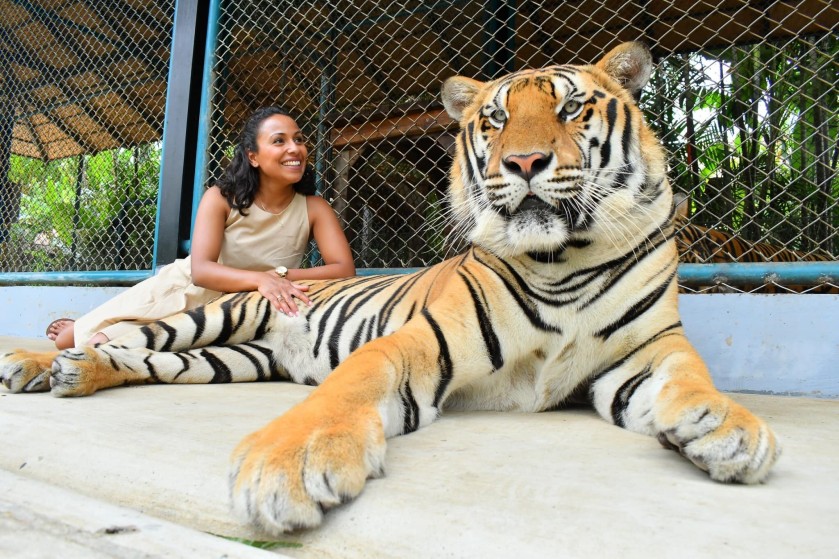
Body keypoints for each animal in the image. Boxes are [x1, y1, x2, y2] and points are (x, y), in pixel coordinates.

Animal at [0, 42, 779, 535]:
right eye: (496, 119)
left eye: (570, 110)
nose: (525, 162)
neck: (563, 257)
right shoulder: (420, 340)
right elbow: (348, 386)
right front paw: (290, 464)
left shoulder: (647, 350)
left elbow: (691, 378)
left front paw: (730, 428)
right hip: (215, 319)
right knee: (128, 333)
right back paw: (36, 362)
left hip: (227, 361)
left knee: (145, 360)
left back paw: (76, 373)